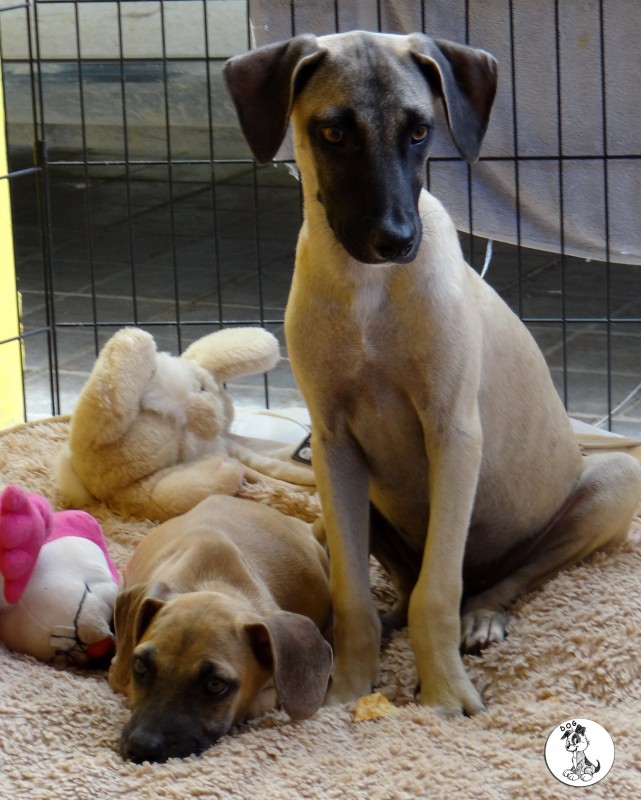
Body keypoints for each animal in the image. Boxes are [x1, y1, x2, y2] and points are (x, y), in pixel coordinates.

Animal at [224, 31, 641, 716]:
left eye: (419, 131)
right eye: (332, 133)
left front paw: (444, 694)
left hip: (613, 483)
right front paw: (347, 688)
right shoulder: (333, 445)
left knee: (497, 581)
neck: (367, 291)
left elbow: (437, 591)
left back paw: (482, 618)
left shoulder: (452, 433)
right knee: (389, 579)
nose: (396, 240)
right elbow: (352, 595)